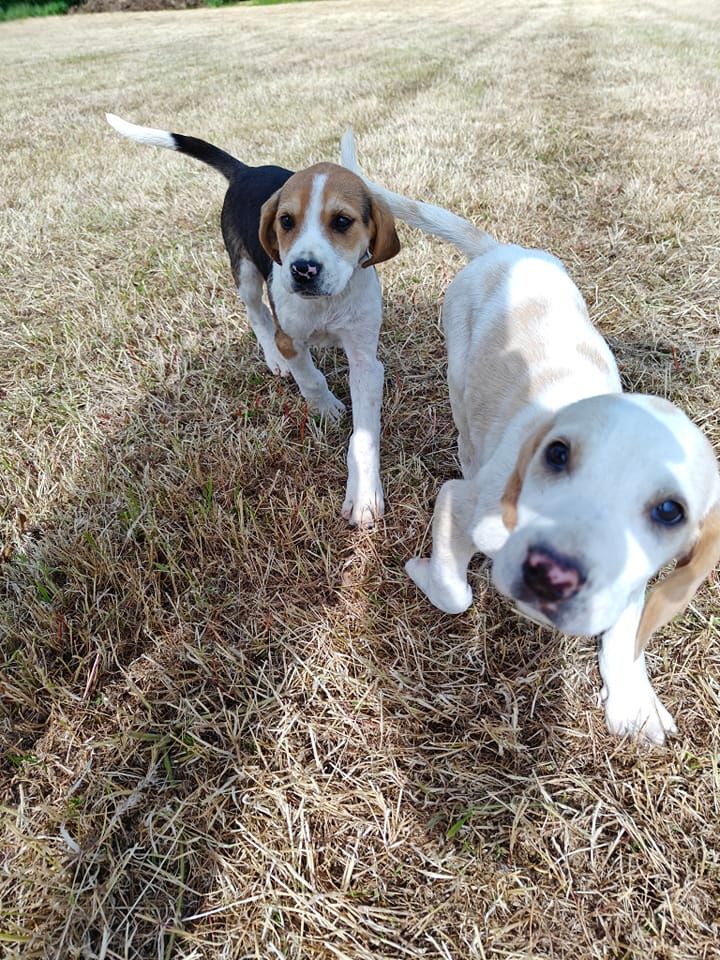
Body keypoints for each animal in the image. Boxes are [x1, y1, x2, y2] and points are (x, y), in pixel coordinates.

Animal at [105, 118, 400, 532]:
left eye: (342, 222)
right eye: (286, 222)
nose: (302, 270)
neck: (326, 303)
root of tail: (247, 171)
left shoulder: (365, 361)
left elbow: (364, 436)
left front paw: (364, 496)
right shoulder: (290, 337)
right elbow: (310, 378)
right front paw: (325, 406)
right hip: (244, 271)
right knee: (257, 312)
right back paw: (274, 358)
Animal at [342, 129, 720, 744]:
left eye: (670, 512)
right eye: (557, 454)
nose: (552, 576)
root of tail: (501, 251)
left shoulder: (633, 579)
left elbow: (624, 633)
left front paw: (634, 703)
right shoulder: (460, 505)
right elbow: (455, 593)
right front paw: (425, 573)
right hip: (458, 367)